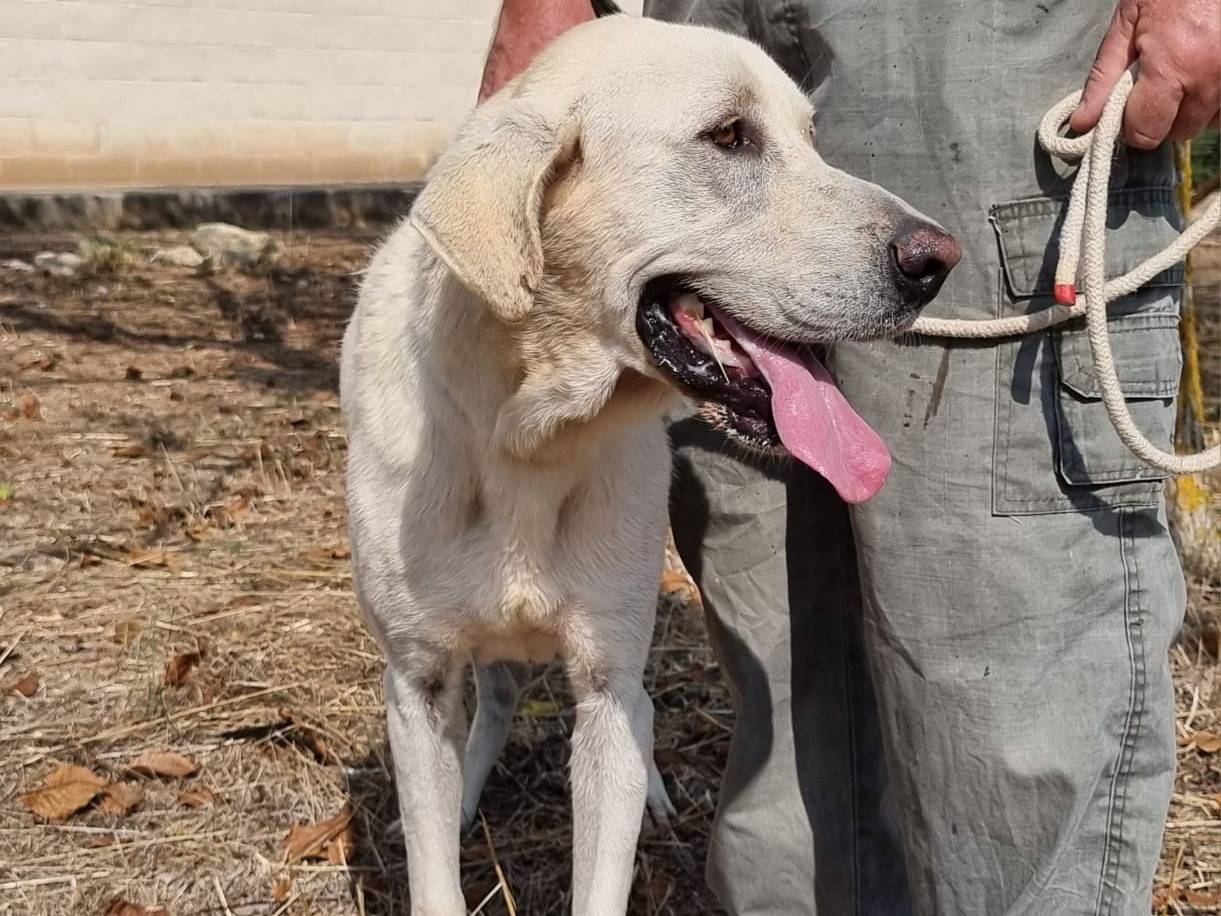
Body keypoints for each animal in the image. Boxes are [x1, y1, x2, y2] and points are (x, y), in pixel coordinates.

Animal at [339, 14, 957, 916]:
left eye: (812, 138)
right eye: (729, 136)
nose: (938, 260)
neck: (527, 435)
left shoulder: (606, 686)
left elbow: (605, 849)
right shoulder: (416, 684)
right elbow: (432, 878)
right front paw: (444, 821)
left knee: (634, 714)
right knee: (497, 700)